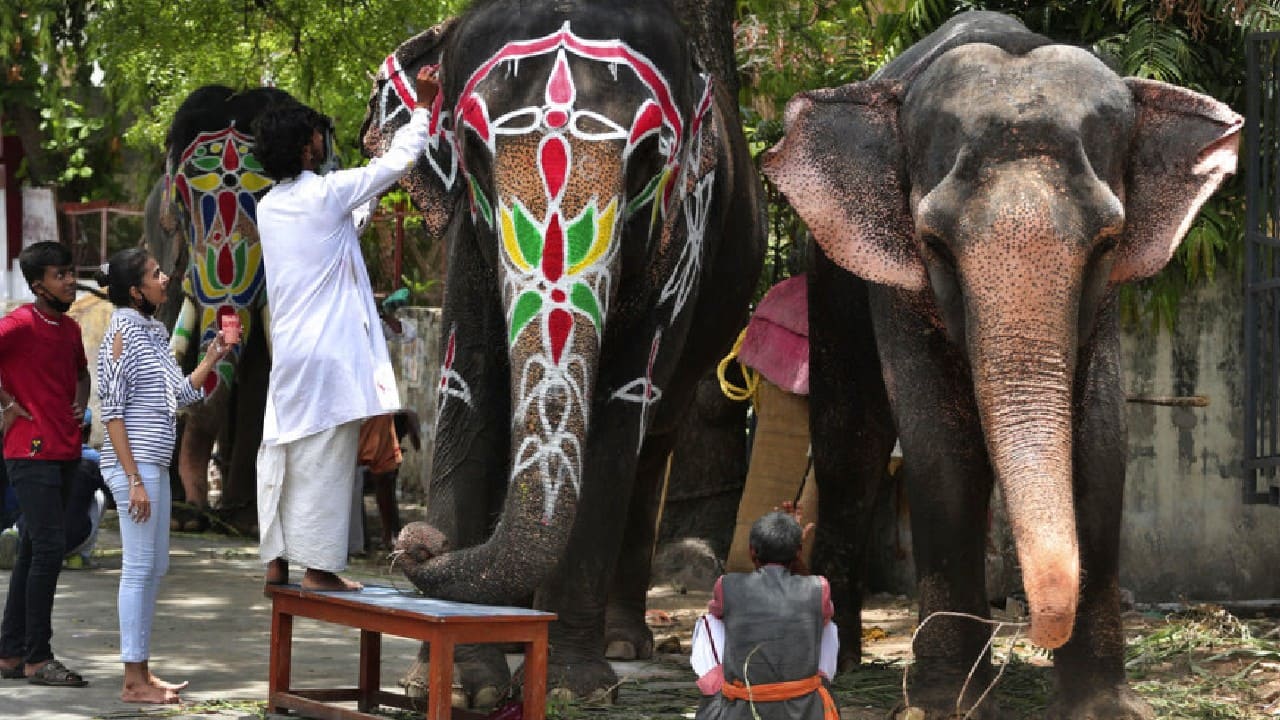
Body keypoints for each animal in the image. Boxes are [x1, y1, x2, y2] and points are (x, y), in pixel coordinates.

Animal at [360, 0, 765, 704]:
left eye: (651, 158)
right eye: (471, 149)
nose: (416, 543)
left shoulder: (681, 240)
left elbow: (620, 407)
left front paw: (573, 690)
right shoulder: (468, 236)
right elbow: (468, 388)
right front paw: (462, 688)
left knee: (655, 439)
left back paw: (621, 644)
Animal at [762, 11, 1241, 720]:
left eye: (1107, 241)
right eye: (933, 243)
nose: (1033, 630)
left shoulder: (1103, 298)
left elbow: (1102, 440)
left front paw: (1102, 705)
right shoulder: (898, 283)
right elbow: (943, 448)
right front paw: (946, 704)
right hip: (828, 271)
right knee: (852, 442)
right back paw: (840, 662)